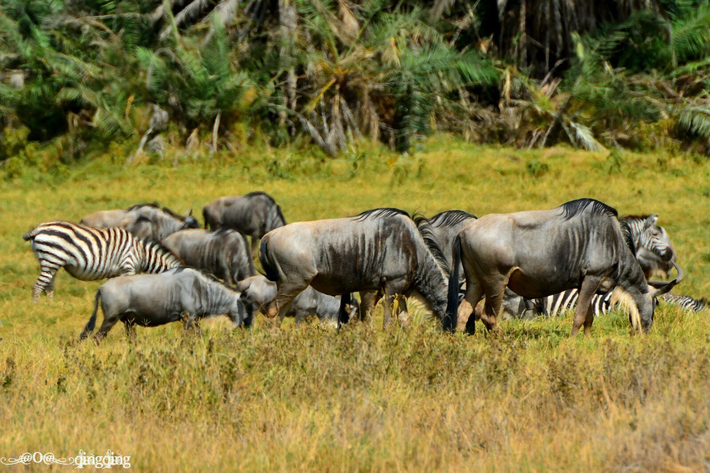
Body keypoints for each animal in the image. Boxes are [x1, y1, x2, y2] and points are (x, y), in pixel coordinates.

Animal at [24, 219, 184, 300]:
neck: (142, 253)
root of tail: (37, 229)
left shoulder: (115, 272)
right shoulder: (128, 266)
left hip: (51, 262)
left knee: (48, 286)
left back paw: (50, 306)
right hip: (51, 259)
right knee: (38, 287)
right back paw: (37, 308)